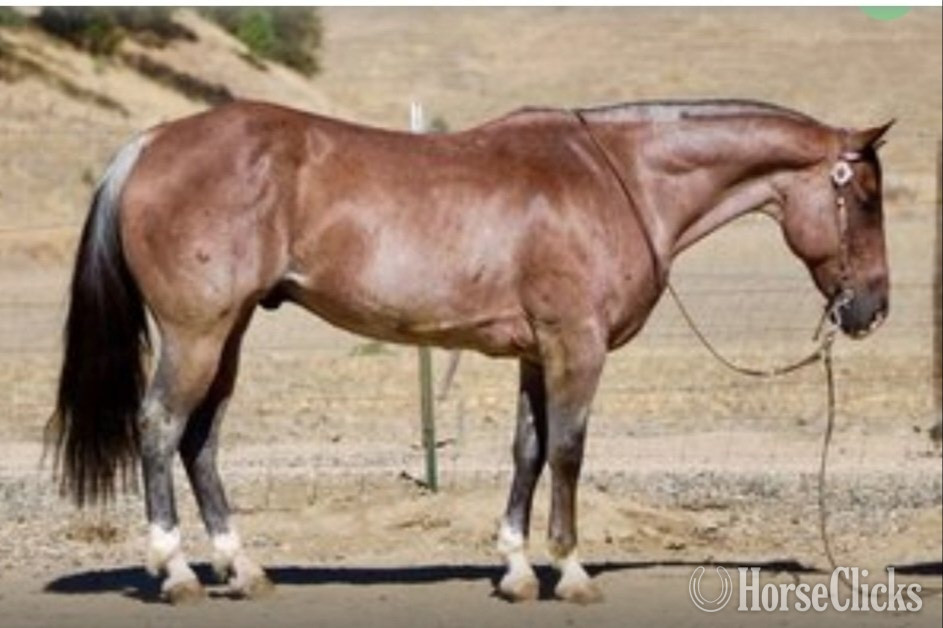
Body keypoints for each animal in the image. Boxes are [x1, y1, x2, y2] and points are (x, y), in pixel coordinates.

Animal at [47, 98, 891, 604]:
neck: (616, 179)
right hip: (198, 333)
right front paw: (570, 570)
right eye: (867, 198)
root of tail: (152, 142)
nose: (872, 308)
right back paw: (175, 570)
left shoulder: (534, 354)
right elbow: (568, 452)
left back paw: (241, 568)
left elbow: (527, 451)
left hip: (229, 335)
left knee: (200, 440)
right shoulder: (576, 348)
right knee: (159, 428)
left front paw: (516, 569)